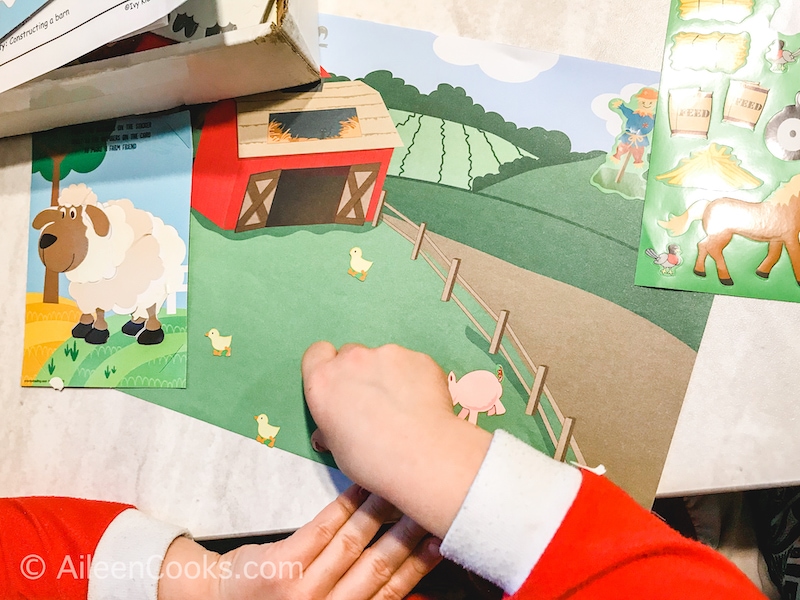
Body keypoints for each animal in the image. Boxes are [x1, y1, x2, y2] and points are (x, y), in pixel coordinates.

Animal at [32, 183, 186, 344]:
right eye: (60, 213)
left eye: (73, 214)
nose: (45, 240)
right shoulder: (90, 288)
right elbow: (96, 309)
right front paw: (85, 328)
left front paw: (97, 333)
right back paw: (133, 325)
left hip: (153, 285)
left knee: (150, 308)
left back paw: (149, 332)